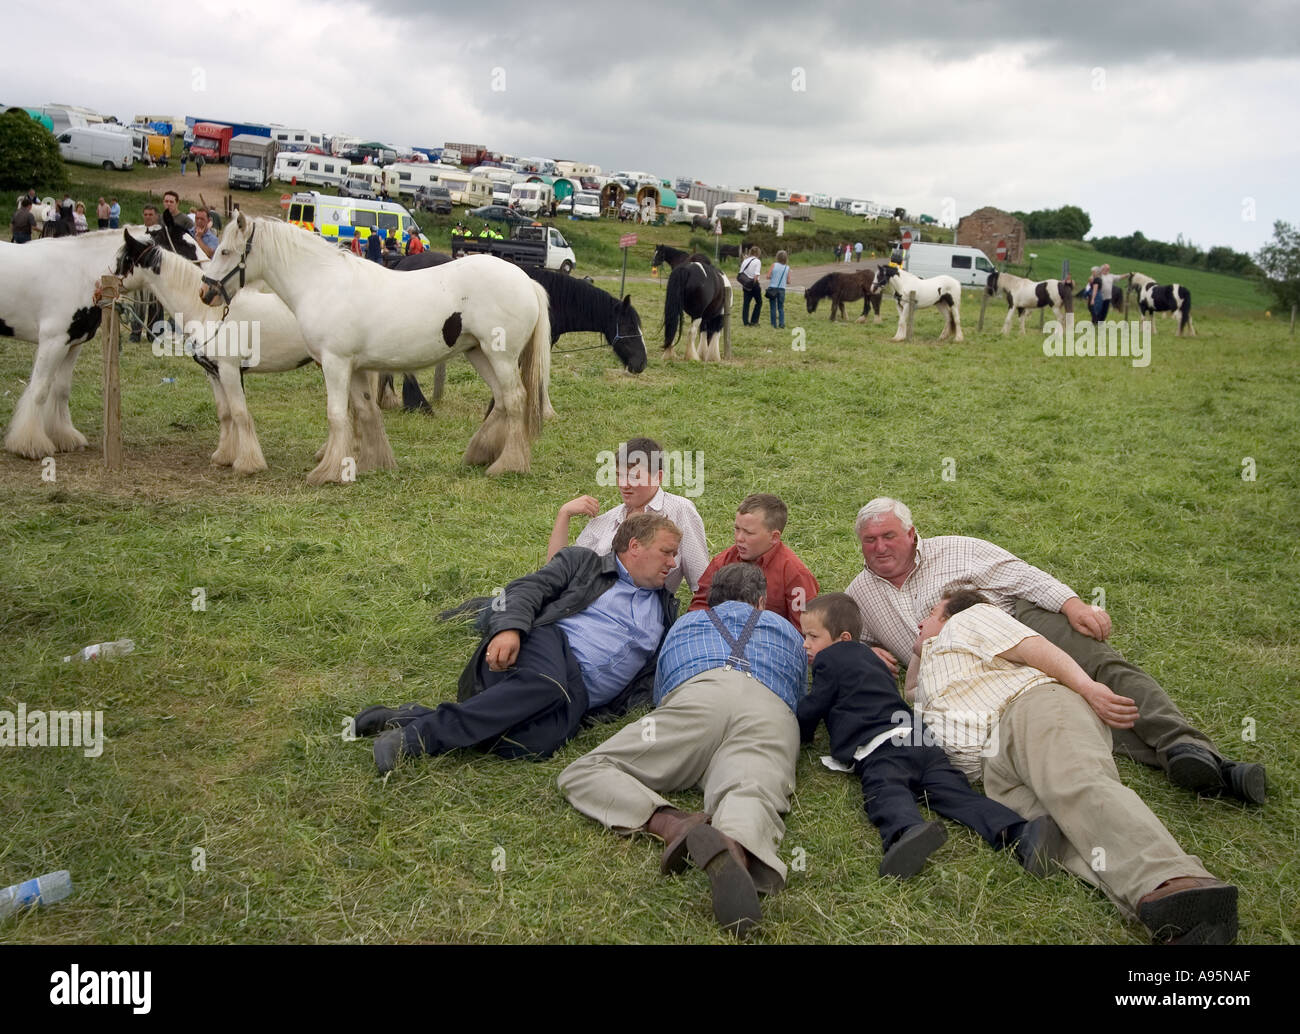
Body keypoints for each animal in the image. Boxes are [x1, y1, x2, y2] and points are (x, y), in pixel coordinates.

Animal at [2, 232, 137, 463]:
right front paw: (30, 443)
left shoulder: (72, 345)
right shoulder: (53, 342)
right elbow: (39, 390)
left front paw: (64, 436)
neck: (81, 271)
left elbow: (61, 389)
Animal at [197, 213, 553, 486]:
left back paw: (508, 464)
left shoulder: (335, 364)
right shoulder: (355, 367)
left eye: (225, 252)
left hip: (501, 357)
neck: (322, 283)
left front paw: (328, 471)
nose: (205, 293)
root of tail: (526, 280)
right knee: (503, 402)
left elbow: (337, 414)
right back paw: (480, 453)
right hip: (479, 355)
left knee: (516, 400)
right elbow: (366, 411)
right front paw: (371, 463)